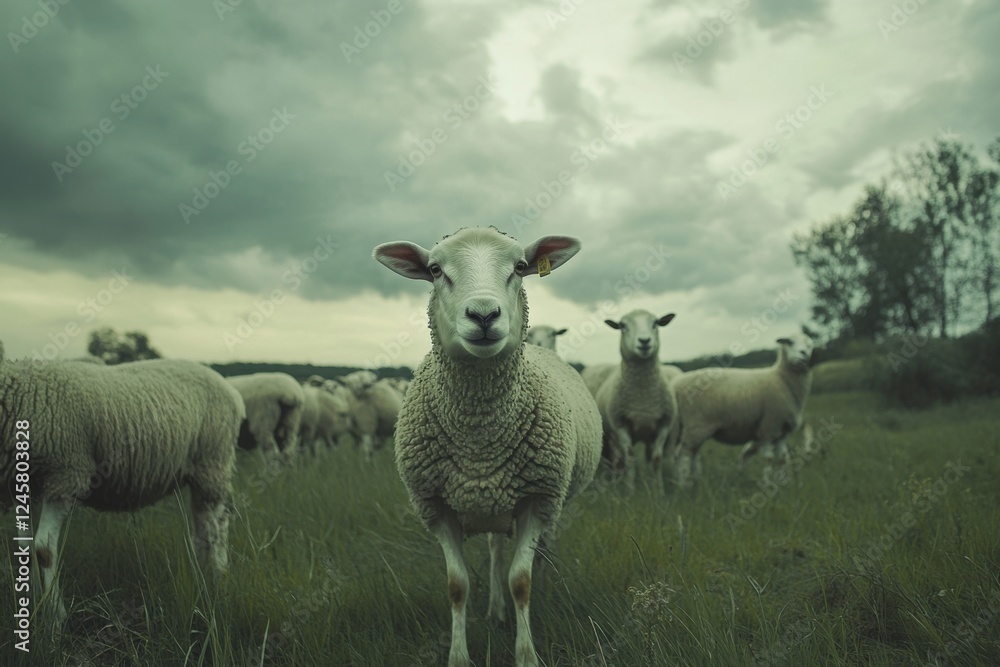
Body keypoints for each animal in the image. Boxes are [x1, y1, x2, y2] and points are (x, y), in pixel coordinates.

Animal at [0, 357, 244, 620]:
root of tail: (230, 390)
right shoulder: (24, 485)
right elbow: (24, 547)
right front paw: (33, 605)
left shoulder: (66, 474)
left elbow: (43, 549)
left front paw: (56, 616)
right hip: (200, 472)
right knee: (203, 527)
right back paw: (204, 572)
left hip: (213, 462)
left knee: (217, 526)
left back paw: (218, 576)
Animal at [373, 227, 602, 667]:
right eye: (435, 270)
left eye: (520, 267)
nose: (483, 315)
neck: (480, 443)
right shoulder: (436, 506)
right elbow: (458, 584)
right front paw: (459, 656)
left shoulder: (537, 499)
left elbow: (522, 580)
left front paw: (527, 654)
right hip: (496, 502)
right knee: (497, 550)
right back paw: (496, 612)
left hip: (549, 499)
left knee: (537, 554)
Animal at [593, 310, 678, 486]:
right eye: (622, 325)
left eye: (655, 323)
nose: (644, 341)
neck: (642, 397)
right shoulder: (620, 425)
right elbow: (630, 458)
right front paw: (630, 489)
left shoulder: (664, 425)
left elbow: (656, 459)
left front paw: (658, 489)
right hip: (610, 436)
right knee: (617, 459)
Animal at [671, 331, 815, 488]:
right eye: (789, 342)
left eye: (809, 345)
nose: (803, 353)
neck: (781, 379)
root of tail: (675, 385)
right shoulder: (768, 427)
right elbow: (769, 459)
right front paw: (766, 484)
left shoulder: (781, 431)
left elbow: (782, 458)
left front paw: (783, 484)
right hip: (697, 424)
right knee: (684, 453)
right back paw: (684, 485)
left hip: (690, 427)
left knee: (691, 453)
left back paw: (694, 481)